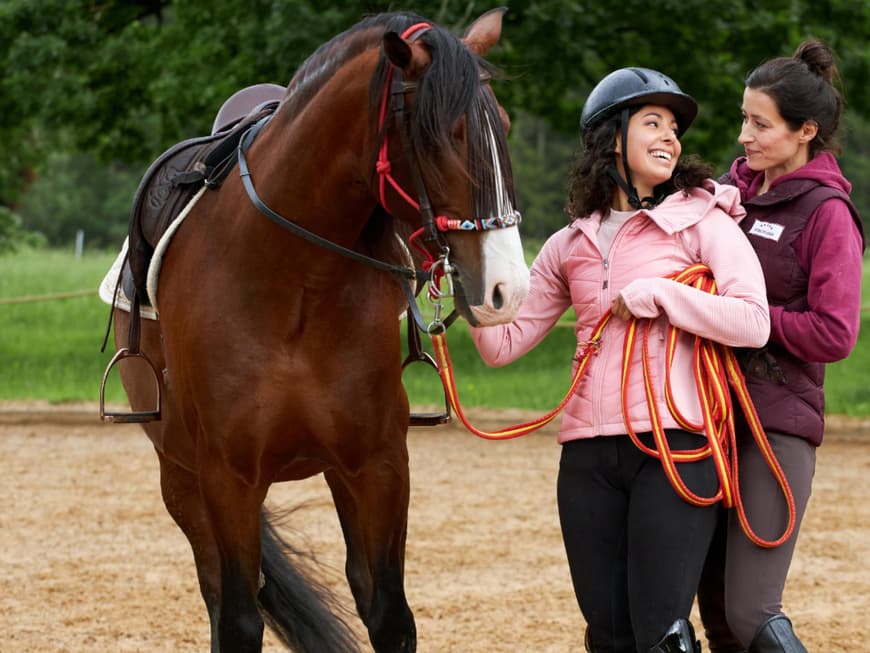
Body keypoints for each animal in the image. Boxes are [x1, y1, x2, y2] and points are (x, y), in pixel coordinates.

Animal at [109, 8, 532, 652]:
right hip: (179, 479)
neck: (295, 284)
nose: (508, 287)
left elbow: (389, 615)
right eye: (442, 134)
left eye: (502, 125)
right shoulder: (226, 478)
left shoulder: (378, 465)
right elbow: (238, 621)